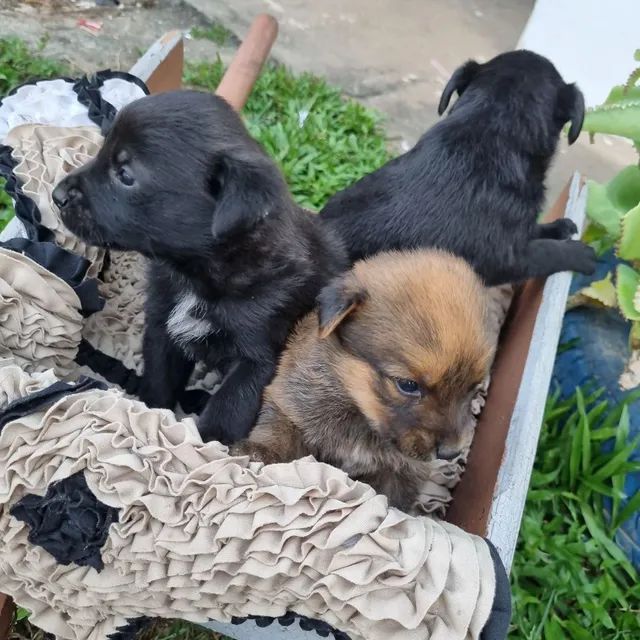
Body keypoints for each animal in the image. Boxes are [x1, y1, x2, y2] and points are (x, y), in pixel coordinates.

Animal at [232, 248, 492, 512]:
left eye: (473, 388)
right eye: (408, 385)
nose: (451, 454)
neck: (360, 411)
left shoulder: (403, 470)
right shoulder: (291, 401)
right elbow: (278, 429)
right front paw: (259, 451)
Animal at [320, 51, 596, 286]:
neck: (489, 128)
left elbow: (531, 232)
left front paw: (557, 227)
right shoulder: (507, 257)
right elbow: (543, 252)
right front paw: (577, 253)